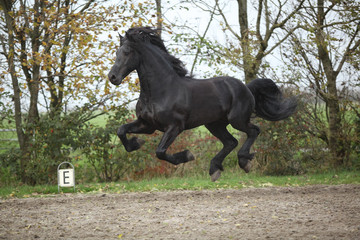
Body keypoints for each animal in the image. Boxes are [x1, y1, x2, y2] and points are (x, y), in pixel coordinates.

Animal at [107, 27, 296, 181]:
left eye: (127, 52)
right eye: (117, 52)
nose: (112, 77)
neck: (162, 90)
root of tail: (246, 88)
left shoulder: (175, 126)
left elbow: (160, 152)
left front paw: (187, 156)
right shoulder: (147, 125)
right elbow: (121, 131)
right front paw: (135, 143)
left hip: (238, 120)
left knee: (253, 131)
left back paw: (244, 162)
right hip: (214, 124)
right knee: (231, 142)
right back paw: (215, 170)